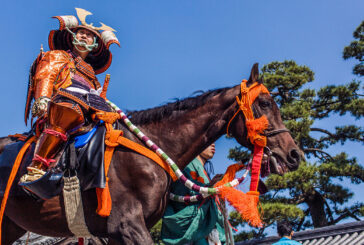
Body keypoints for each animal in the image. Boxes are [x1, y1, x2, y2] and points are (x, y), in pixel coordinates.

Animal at [0, 64, 302, 244]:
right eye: (264, 104)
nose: (294, 154)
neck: (151, 146)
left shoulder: (115, 232)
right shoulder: (127, 223)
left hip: (10, 225)